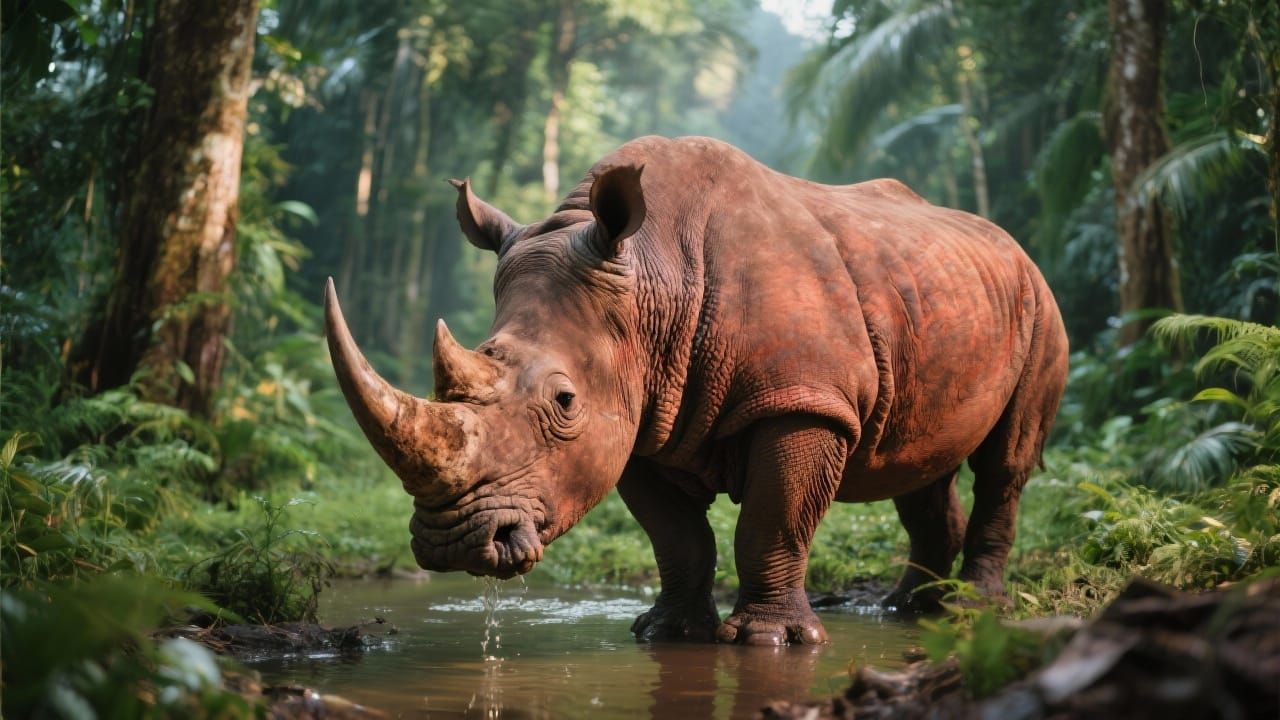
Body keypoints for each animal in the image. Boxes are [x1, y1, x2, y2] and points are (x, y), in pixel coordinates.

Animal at [325, 136, 1069, 646]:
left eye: (564, 403)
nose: (451, 545)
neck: (652, 277)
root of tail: (1006, 241)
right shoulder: (639, 418)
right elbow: (676, 535)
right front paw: (666, 633)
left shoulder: (802, 401)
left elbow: (774, 521)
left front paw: (768, 641)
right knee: (918, 463)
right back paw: (908, 608)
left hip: (1038, 300)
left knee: (1004, 462)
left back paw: (969, 607)